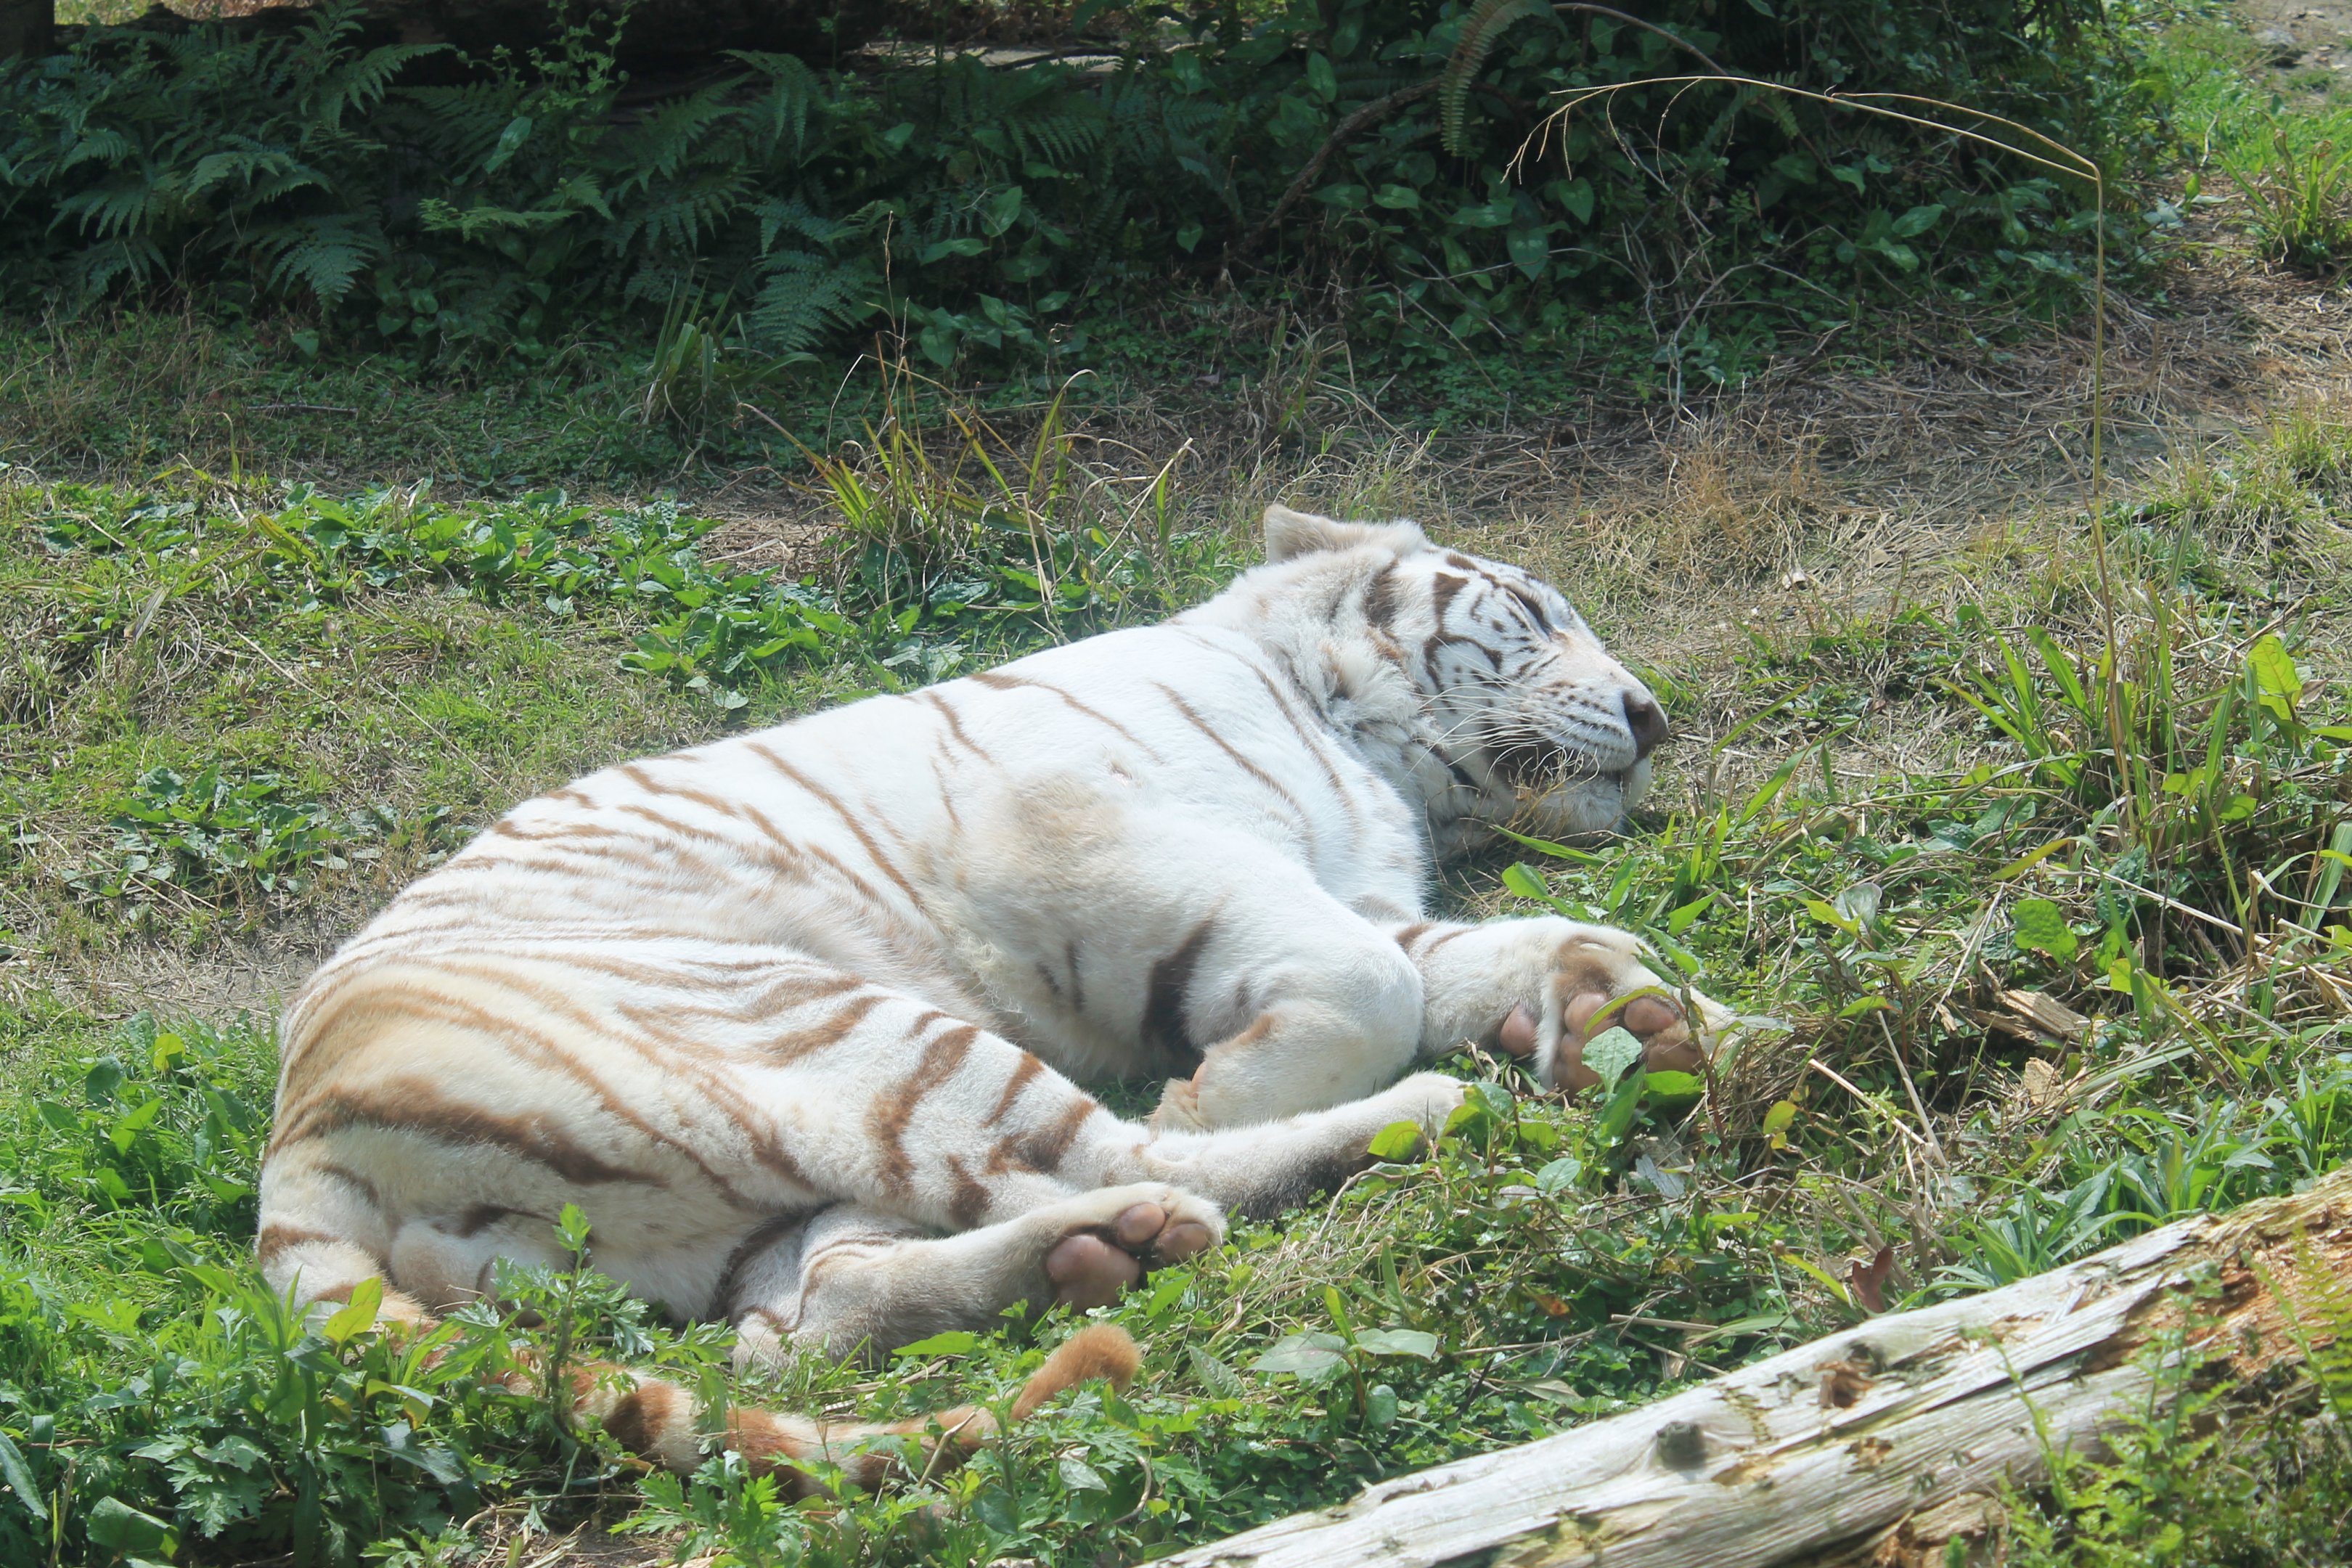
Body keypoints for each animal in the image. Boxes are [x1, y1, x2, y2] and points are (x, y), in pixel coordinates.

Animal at [253, 502, 1728, 1484]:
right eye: (1537, 614)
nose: (1654, 717)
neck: (1365, 743)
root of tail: (295, 1144)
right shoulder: (1098, 833)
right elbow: (1371, 992)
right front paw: (1226, 1091)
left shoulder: (1351, 890)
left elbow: (1487, 948)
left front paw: (1628, 1010)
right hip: (831, 1022)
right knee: (1117, 1155)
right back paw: (1381, 1131)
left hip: (742, 1188)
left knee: (802, 1328)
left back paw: (1099, 1258)